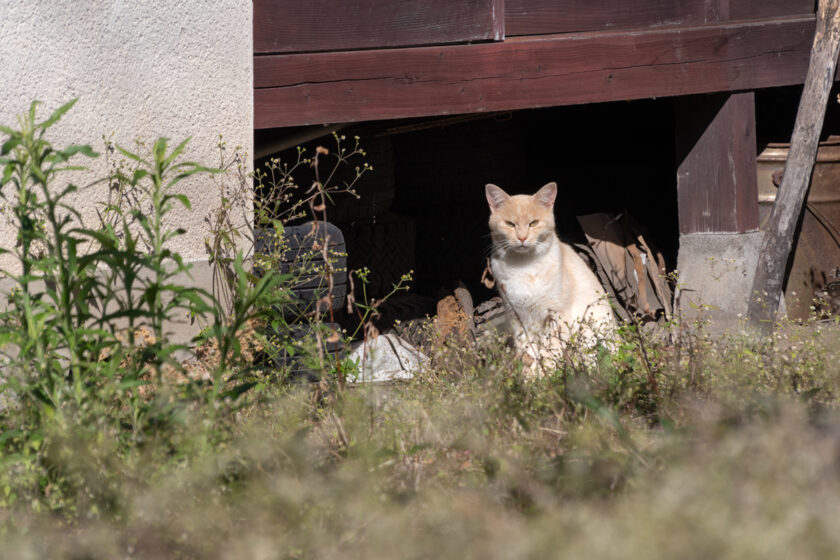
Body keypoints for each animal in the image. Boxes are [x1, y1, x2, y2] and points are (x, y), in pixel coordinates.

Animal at [486, 182, 616, 370]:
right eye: (510, 224)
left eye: (533, 223)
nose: (522, 237)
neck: (523, 266)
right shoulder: (517, 317)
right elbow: (526, 350)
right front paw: (530, 375)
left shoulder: (556, 316)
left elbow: (549, 352)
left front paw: (546, 373)